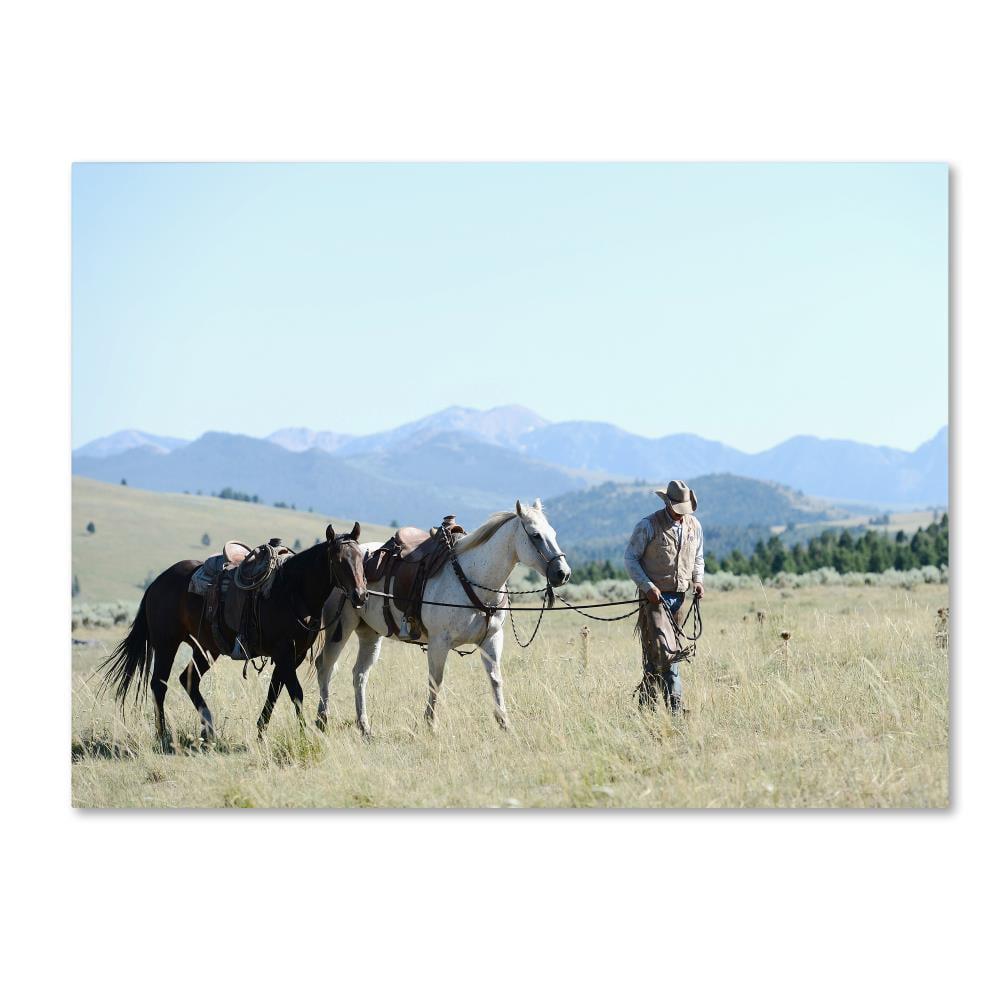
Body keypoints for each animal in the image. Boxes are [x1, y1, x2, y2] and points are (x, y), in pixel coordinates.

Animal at [99, 524, 368, 752]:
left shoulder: (294, 655)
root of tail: (157, 583)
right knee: (159, 684)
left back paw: (208, 731)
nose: (360, 595)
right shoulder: (283, 652)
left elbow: (274, 692)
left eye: (360, 559)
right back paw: (163, 735)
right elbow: (296, 693)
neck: (292, 591)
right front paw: (304, 735)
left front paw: (260, 734)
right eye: (339, 561)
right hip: (167, 645)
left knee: (188, 680)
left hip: (206, 648)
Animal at [316, 500, 576, 736]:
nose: (562, 573)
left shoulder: (492, 639)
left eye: (553, 533)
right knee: (325, 666)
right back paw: (321, 720)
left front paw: (504, 723)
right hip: (340, 628)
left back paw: (364, 727)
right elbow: (435, 682)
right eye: (535, 535)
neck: (472, 577)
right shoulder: (439, 643)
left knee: (359, 675)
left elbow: (495, 679)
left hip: (370, 634)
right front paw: (430, 725)